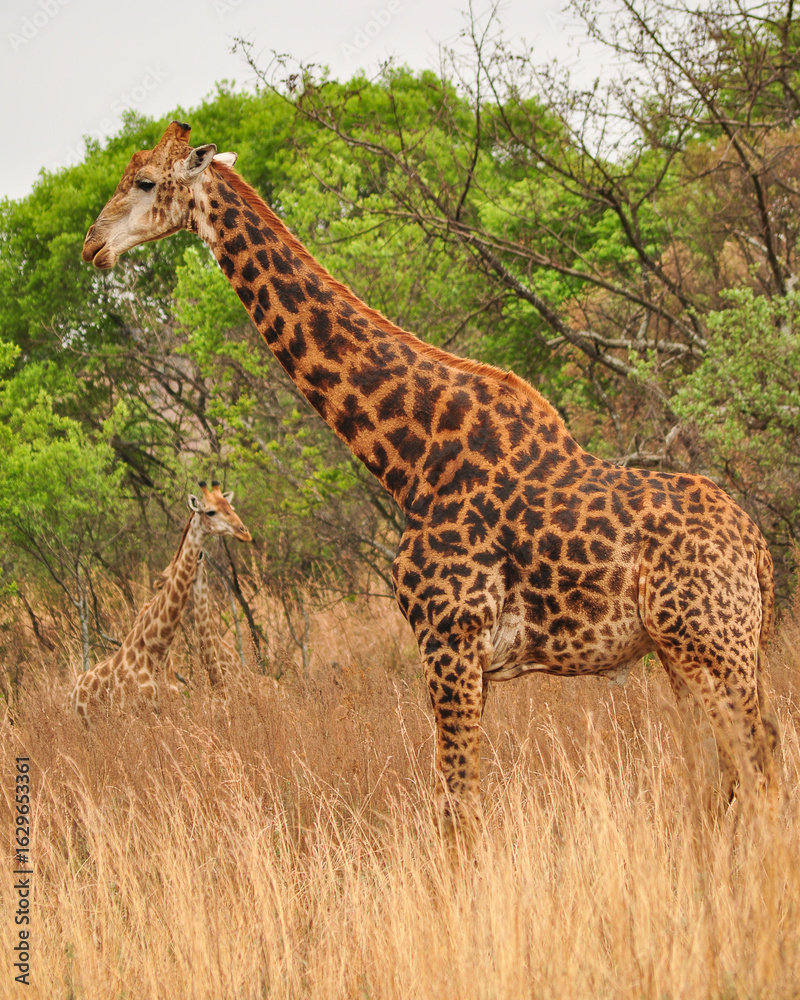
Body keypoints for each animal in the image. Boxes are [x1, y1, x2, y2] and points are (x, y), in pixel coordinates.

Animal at [70, 480, 251, 725]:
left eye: (230, 507)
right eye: (210, 511)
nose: (244, 533)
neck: (156, 647)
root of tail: (72, 693)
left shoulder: (170, 710)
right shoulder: (137, 716)